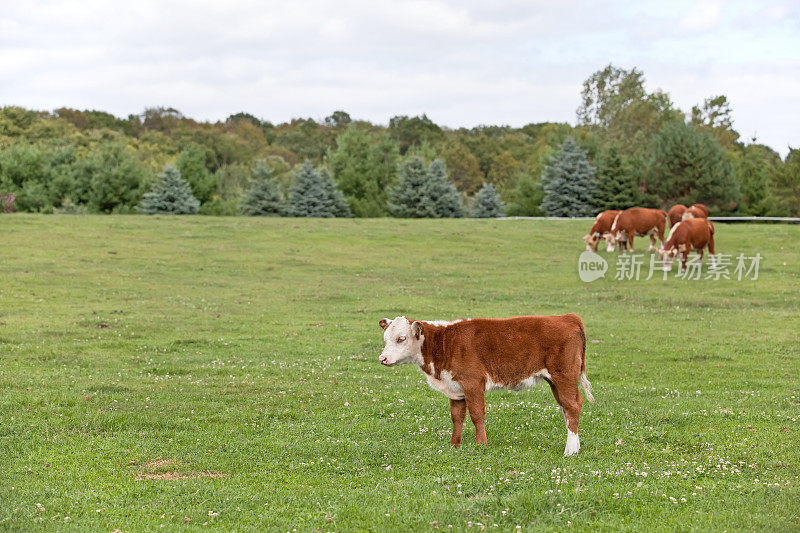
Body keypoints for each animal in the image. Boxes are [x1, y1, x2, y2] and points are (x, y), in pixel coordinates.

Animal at [376, 314, 592, 456]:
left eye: (401, 338)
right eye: (385, 338)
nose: (382, 359)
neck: (444, 344)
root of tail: (567, 317)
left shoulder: (473, 383)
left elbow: (477, 415)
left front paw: (481, 444)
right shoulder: (455, 389)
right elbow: (457, 417)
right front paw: (454, 445)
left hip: (564, 375)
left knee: (573, 406)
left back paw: (570, 449)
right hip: (555, 380)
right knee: (566, 407)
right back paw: (576, 445)